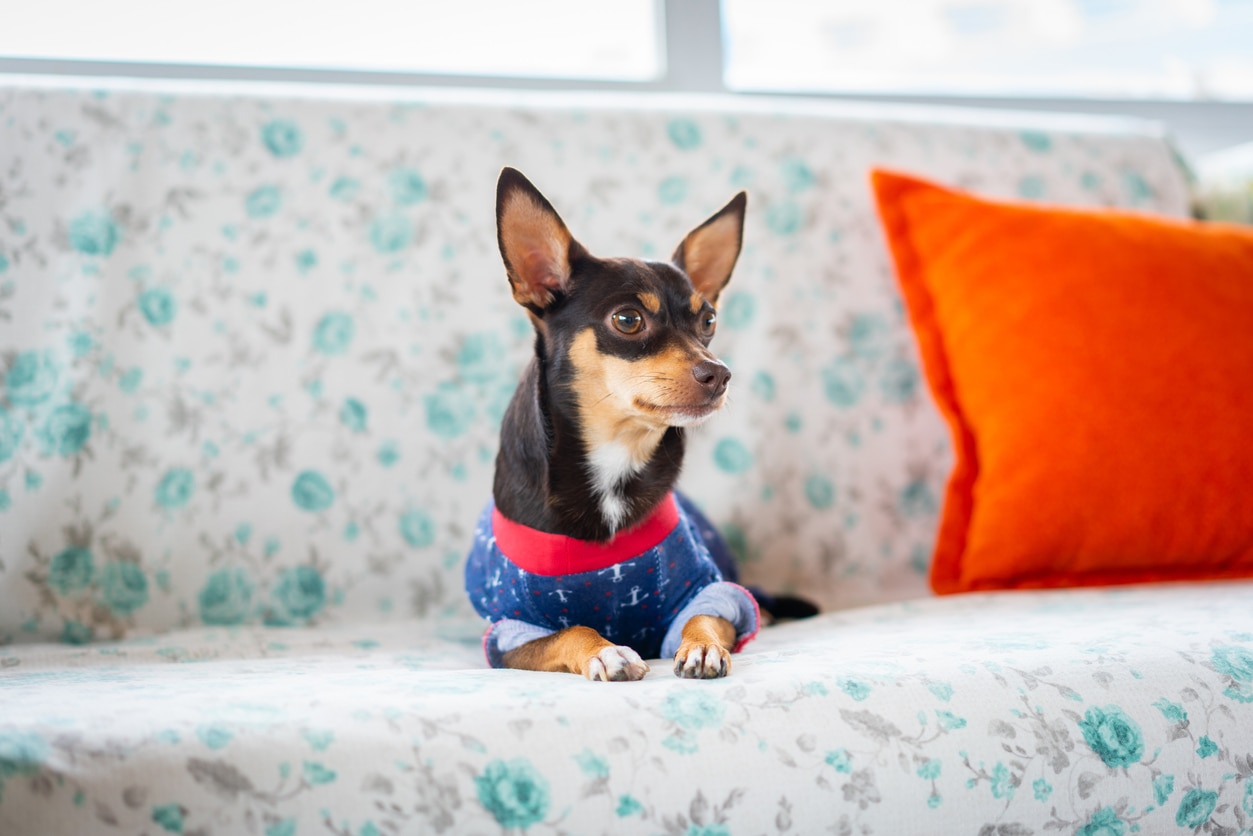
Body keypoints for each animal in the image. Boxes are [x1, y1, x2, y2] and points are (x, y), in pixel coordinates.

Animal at [461, 167, 791, 681]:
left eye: (709, 320)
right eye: (628, 319)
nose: (719, 373)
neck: (618, 453)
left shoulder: (709, 591)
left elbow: (701, 617)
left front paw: (701, 647)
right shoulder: (514, 631)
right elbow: (571, 630)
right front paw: (606, 650)